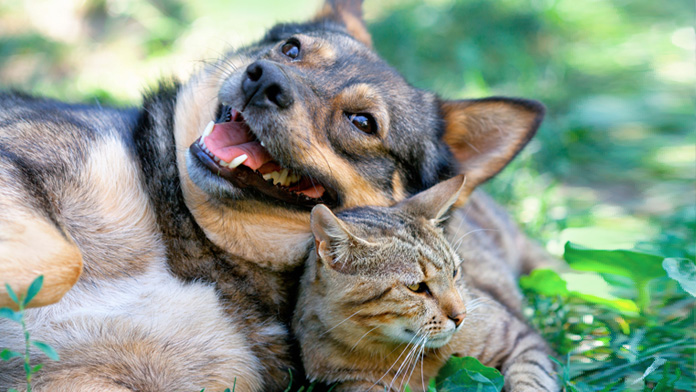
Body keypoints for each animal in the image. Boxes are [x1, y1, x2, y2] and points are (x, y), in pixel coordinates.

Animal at [294, 175, 560, 392]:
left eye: (454, 272)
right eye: (416, 288)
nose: (461, 316)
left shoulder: (521, 340)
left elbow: (530, 380)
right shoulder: (353, 384)